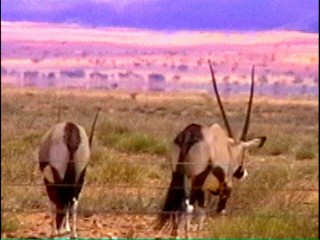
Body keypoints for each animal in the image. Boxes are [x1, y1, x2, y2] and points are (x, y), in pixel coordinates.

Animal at [39, 108, 100, 237]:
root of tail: (71, 128)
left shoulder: (49, 181)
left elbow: (53, 204)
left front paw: (56, 230)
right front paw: (66, 228)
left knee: (61, 202)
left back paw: (57, 232)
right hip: (79, 177)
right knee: (73, 202)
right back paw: (73, 233)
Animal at [157, 61, 264, 235]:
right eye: (244, 153)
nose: (242, 173)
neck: (229, 148)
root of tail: (190, 133)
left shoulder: (203, 191)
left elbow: (202, 212)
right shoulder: (225, 188)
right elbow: (218, 211)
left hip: (179, 175)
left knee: (180, 206)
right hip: (197, 178)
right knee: (188, 207)